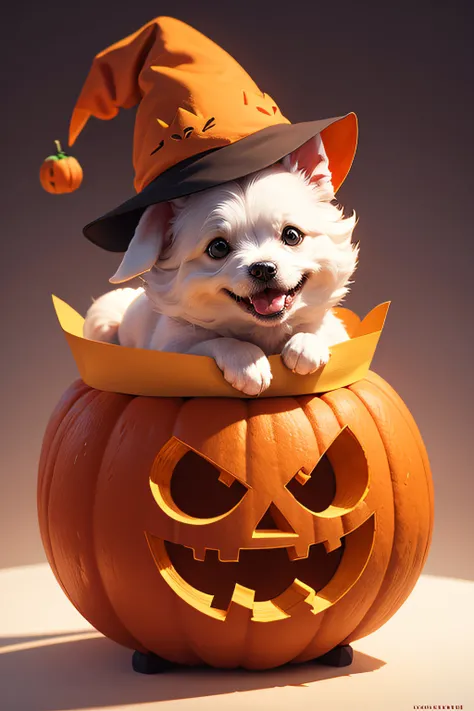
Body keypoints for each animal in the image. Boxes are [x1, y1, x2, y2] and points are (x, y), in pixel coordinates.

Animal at [83, 135, 358, 394]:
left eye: (292, 235)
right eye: (218, 248)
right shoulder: (172, 349)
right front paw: (247, 361)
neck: (263, 332)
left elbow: (323, 330)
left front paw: (306, 344)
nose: (263, 268)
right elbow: (213, 342)